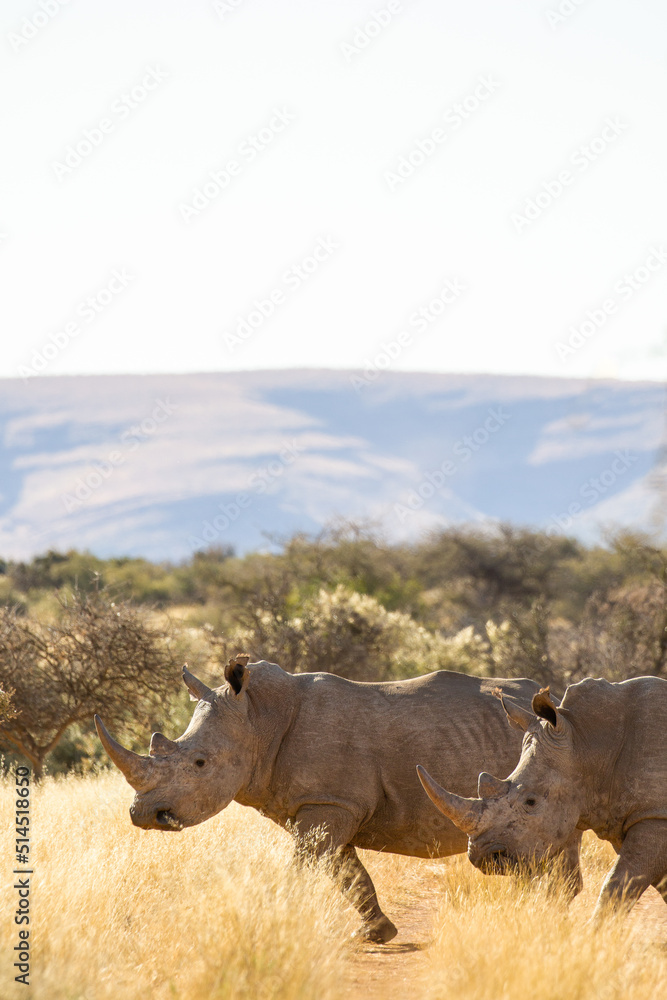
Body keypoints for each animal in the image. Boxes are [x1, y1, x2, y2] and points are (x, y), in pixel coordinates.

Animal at [95, 655, 581, 942]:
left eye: (199, 763)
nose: (143, 815)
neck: (258, 719)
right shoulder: (324, 804)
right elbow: (347, 873)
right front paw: (377, 934)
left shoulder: (328, 803)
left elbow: (307, 867)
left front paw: (278, 924)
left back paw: (542, 912)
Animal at [417, 676, 667, 919]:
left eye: (531, 802)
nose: (482, 857)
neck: (590, 745)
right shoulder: (630, 816)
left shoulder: (653, 817)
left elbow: (617, 886)